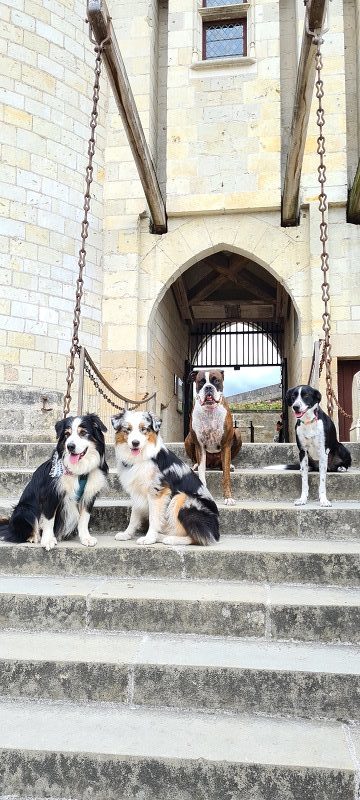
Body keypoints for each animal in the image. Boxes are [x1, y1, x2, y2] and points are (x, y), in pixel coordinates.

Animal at [0, 412, 108, 552]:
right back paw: (34, 537)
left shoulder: (89, 494)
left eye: (83, 432)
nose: (70, 446)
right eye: (67, 434)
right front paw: (48, 540)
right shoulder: (51, 494)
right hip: (24, 509)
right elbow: (49, 519)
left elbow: (85, 518)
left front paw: (86, 538)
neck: (78, 471)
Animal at [186, 370, 242, 506]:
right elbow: (202, 475)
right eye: (201, 382)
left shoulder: (226, 445)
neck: (210, 410)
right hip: (189, 438)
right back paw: (195, 465)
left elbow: (226, 476)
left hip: (237, 434)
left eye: (216, 380)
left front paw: (228, 497)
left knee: (225, 464)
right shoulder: (200, 446)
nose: (208, 387)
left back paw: (229, 465)